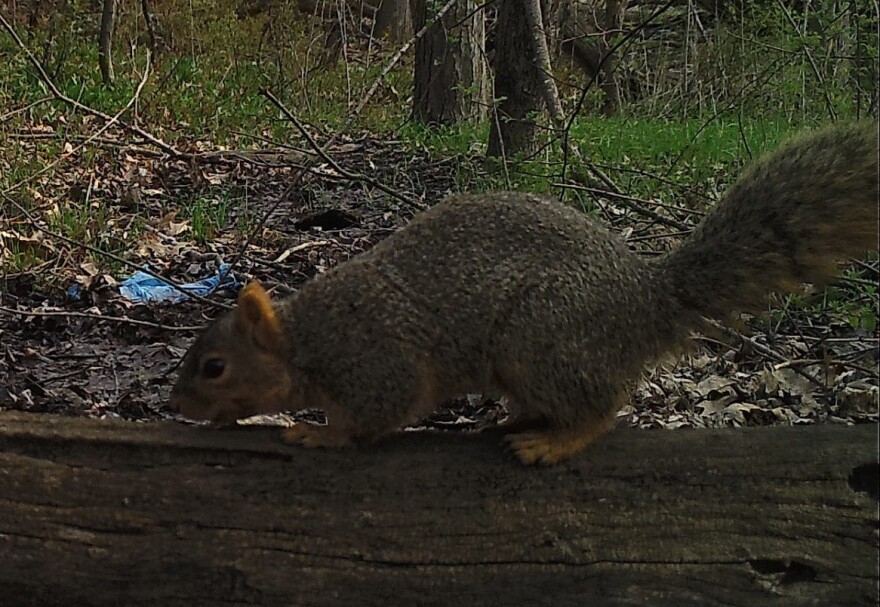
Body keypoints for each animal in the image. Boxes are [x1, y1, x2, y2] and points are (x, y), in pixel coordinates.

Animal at [169, 122, 879, 465]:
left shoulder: (375, 361)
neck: (304, 339)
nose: (174, 406)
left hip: (543, 338)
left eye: (214, 367)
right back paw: (517, 419)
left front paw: (320, 434)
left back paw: (551, 441)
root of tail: (646, 298)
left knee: (603, 408)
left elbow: (376, 415)